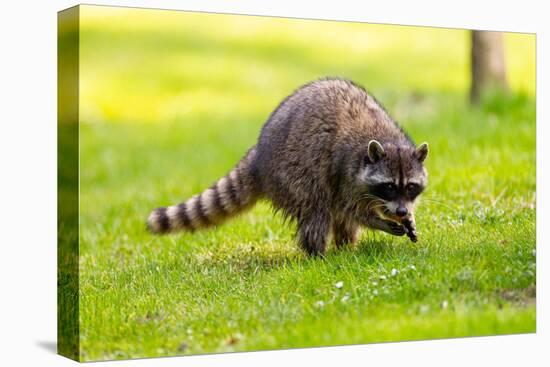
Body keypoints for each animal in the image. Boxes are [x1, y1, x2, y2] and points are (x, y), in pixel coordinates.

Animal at [149, 77, 430, 256]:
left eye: (410, 187)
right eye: (389, 186)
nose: (402, 211)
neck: (387, 139)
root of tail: (259, 155)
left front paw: (405, 217)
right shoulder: (346, 172)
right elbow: (351, 209)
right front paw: (379, 221)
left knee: (336, 219)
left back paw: (346, 247)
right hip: (293, 172)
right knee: (317, 208)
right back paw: (318, 254)